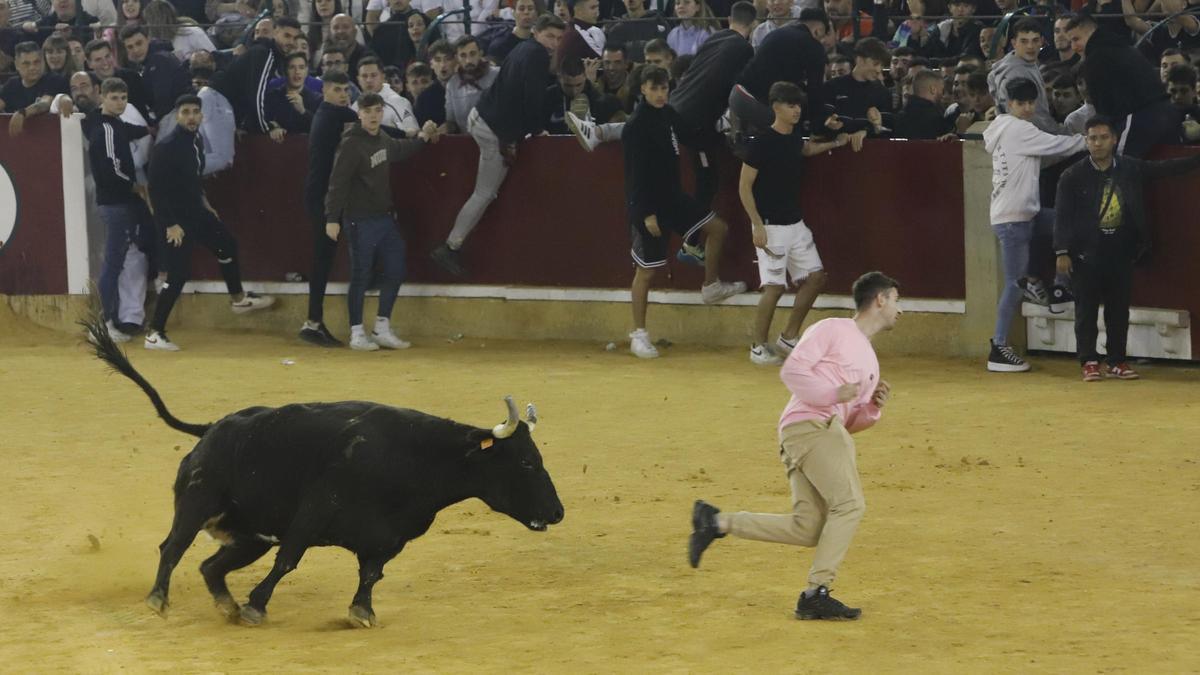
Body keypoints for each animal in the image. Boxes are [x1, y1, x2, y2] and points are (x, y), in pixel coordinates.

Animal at [87, 314, 564, 624]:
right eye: (526, 461)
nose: (558, 513)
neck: (413, 459)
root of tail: (212, 428)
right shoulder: (314, 512)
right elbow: (289, 561)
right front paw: (257, 606)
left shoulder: (389, 538)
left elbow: (371, 573)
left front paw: (361, 612)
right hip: (197, 501)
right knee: (172, 547)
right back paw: (158, 600)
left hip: (248, 535)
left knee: (210, 566)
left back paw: (226, 605)